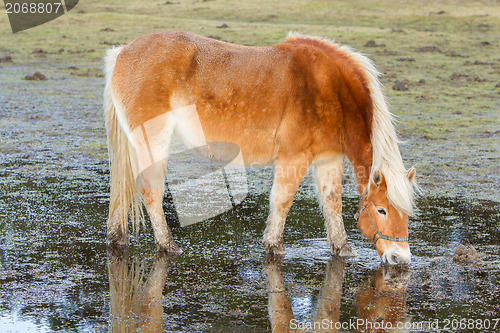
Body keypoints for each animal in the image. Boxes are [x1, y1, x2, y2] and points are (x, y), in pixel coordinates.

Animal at [102, 31, 418, 264]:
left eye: (405, 213)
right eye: (382, 210)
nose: (400, 258)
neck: (331, 90)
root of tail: (122, 52)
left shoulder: (329, 159)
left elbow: (332, 203)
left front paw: (343, 249)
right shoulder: (294, 157)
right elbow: (282, 201)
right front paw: (274, 246)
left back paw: (118, 238)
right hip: (154, 142)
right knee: (151, 192)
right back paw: (168, 246)